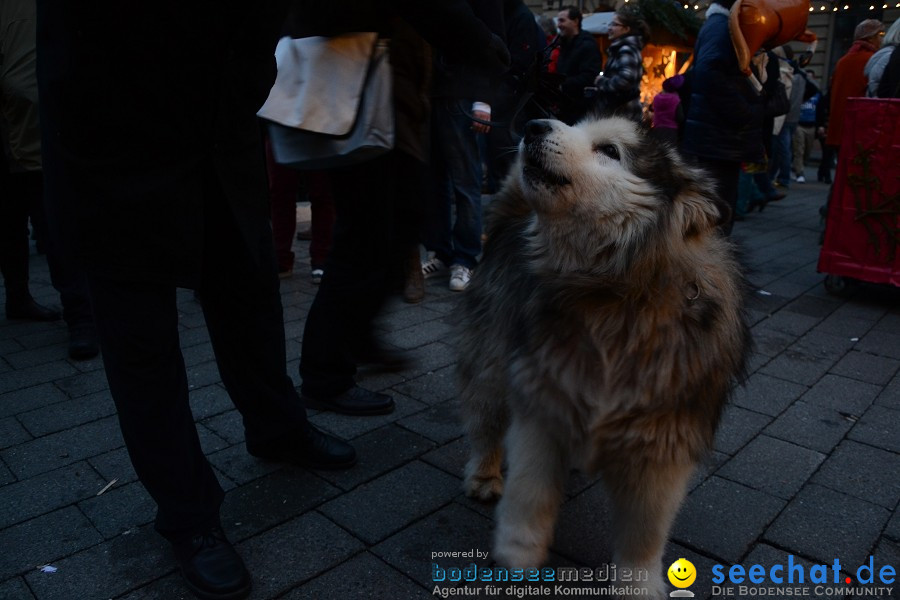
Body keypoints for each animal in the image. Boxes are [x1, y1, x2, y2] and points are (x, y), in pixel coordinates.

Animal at [460, 115, 748, 596]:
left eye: (610, 150)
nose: (533, 124)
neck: (616, 294)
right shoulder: (542, 408)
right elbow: (529, 494)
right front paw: (518, 555)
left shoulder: (663, 446)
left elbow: (645, 532)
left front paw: (637, 586)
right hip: (492, 361)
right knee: (485, 418)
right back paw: (484, 473)